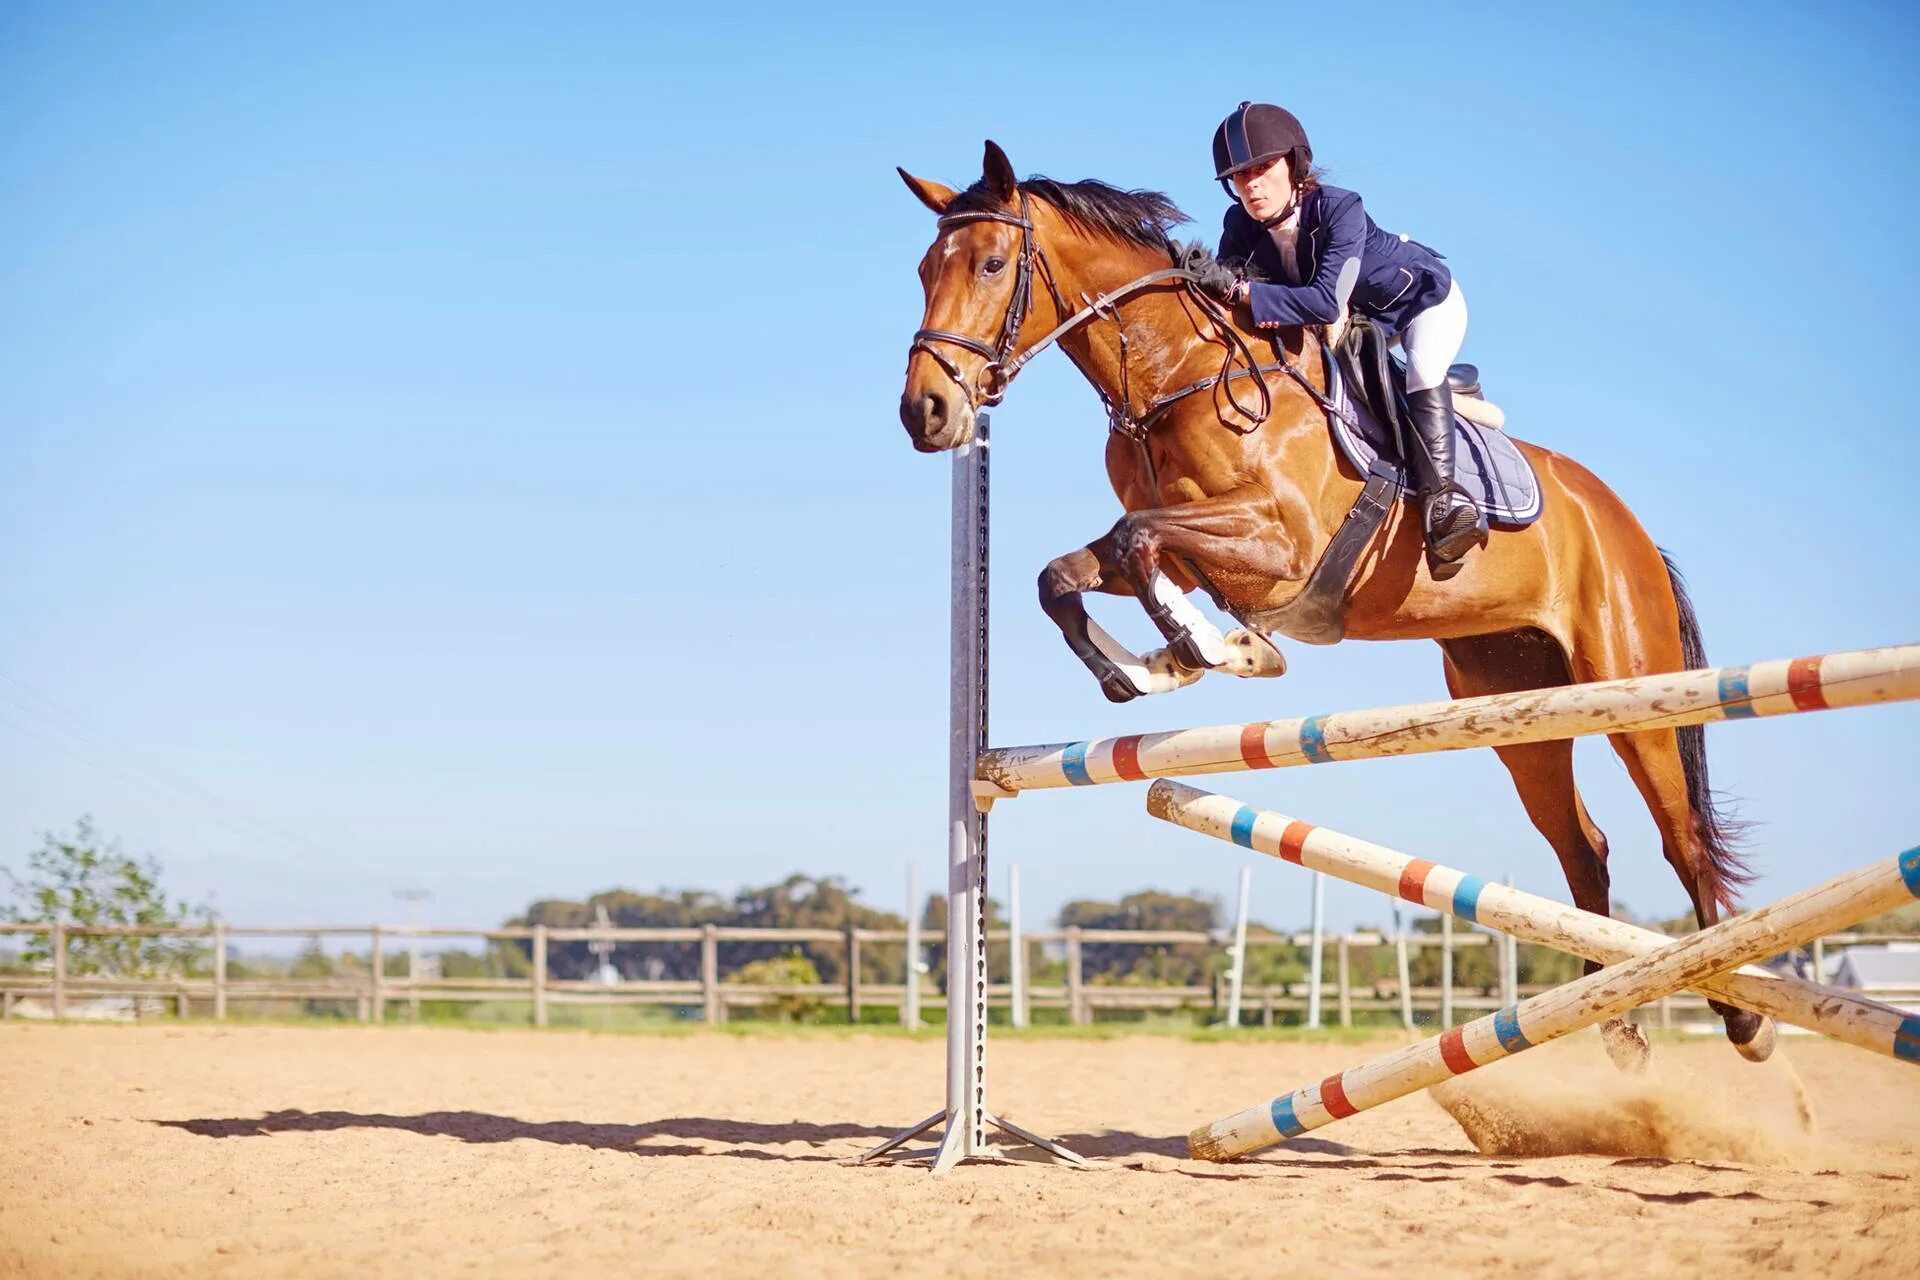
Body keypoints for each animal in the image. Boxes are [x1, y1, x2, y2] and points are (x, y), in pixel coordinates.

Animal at [894, 140, 1766, 1066]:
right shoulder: (1198, 556)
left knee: (1680, 835)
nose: (927, 413)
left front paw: (1223, 652)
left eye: (991, 264)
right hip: (1513, 701)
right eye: (924, 270)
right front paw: (1155, 668)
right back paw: (1615, 1025)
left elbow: (1137, 540)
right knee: (1583, 848)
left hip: (1631, 685)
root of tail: (1625, 522)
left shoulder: (1280, 546)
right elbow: (1069, 573)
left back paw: (1743, 1021)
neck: (1179, 375)